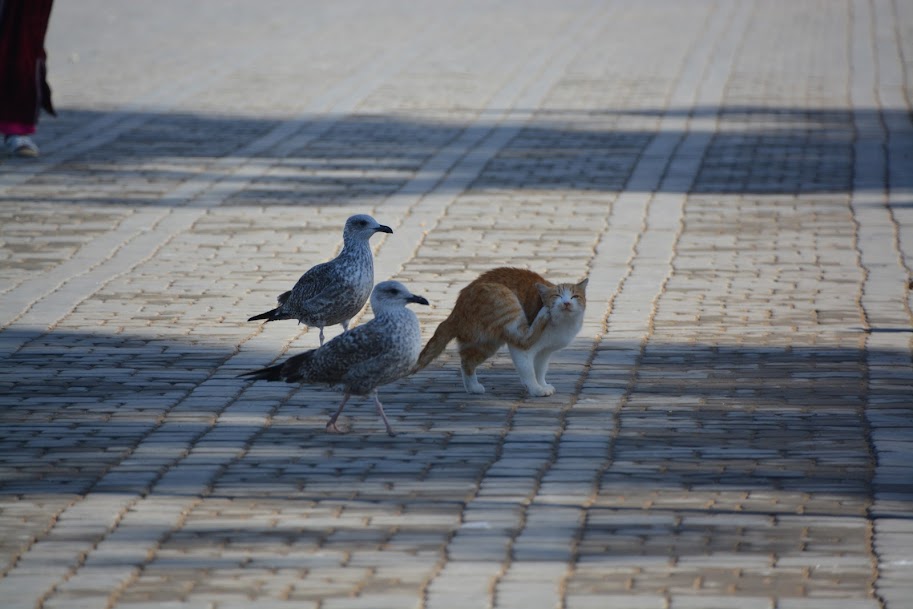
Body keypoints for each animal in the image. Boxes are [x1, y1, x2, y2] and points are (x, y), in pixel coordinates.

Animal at [412, 266, 588, 394]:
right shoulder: (522, 350)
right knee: (523, 338)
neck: (564, 323)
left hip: (486, 344)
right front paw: (536, 389)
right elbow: (529, 371)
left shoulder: (544, 352)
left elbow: (540, 370)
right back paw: (543, 314)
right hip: (503, 298)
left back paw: (472, 387)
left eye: (574, 297)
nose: (566, 303)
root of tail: (457, 309)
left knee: (466, 362)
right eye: (557, 296)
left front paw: (542, 385)